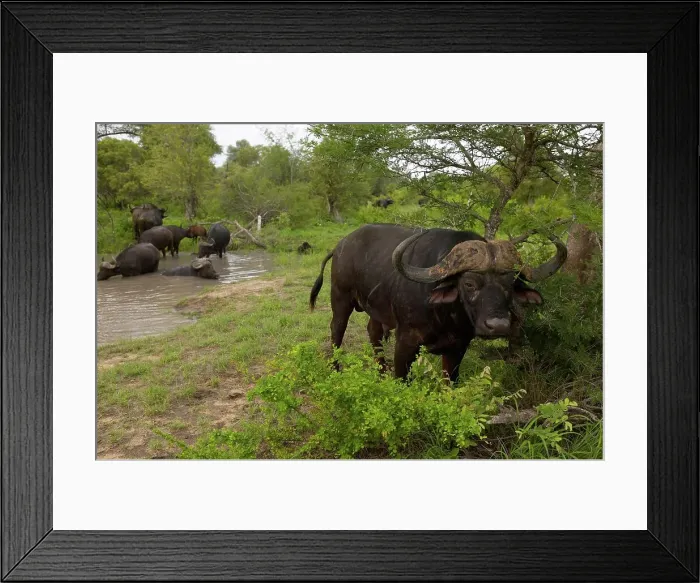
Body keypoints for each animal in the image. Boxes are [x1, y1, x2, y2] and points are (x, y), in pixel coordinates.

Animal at [309, 224, 566, 382]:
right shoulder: (406, 342)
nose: (499, 326)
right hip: (340, 299)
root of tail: (341, 246)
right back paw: (335, 368)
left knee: (374, 332)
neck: (446, 316)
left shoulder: (457, 348)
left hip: (376, 309)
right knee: (337, 330)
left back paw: (381, 372)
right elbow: (402, 380)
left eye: (511, 284)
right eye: (469, 283)